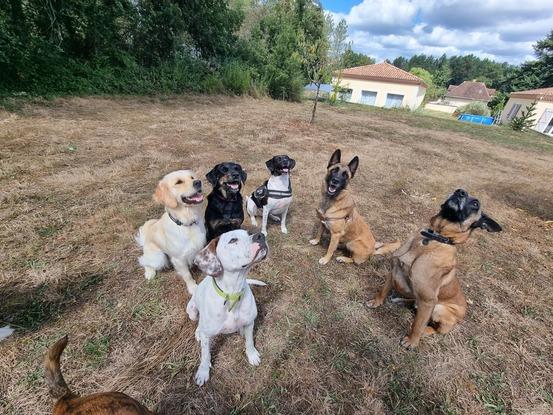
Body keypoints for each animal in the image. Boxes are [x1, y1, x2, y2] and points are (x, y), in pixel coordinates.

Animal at [187, 231, 268, 386]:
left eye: (249, 233)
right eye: (233, 240)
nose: (261, 235)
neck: (233, 294)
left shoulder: (250, 323)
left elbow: (249, 341)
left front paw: (252, 355)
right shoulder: (207, 336)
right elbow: (205, 355)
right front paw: (203, 371)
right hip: (191, 311)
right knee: (198, 321)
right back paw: (198, 331)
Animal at [368, 190, 502, 350]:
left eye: (475, 204)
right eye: (457, 190)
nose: (460, 192)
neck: (433, 237)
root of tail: (462, 315)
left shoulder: (428, 299)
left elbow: (417, 325)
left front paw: (412, 341)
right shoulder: (394, 270)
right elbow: (382, 290)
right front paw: (376, 302)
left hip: (439, 308)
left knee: (436, 328)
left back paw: (425, 330)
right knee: (415, 305)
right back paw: (400, 300)